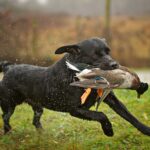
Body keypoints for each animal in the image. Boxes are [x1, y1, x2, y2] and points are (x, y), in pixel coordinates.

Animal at [0, 37, 148, 136]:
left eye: (108, 51)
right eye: (95, 54)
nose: (115, 65)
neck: (74, 73)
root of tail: (9, 68)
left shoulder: (111, 100)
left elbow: (129, 116)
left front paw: (146, 130)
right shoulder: (75, 109)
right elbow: (101, 115)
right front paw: (108, 130)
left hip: (38, 107)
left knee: (35, 121)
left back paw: (42, 134)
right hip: (9, 104)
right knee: (5, 118)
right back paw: (9, 133)